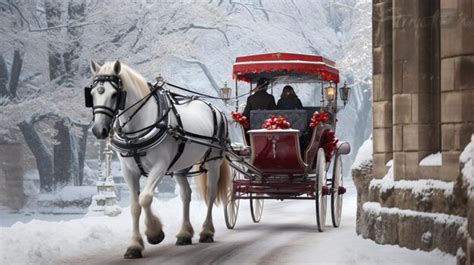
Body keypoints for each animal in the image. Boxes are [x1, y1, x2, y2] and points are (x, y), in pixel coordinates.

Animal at [87, 59, 233, 258]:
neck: (138, 128)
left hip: (213, 162)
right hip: (181, 166)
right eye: (92, 93)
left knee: (210, 193)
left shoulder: (160, 167)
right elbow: (135, 206)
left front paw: (154, 233)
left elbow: (146, 198)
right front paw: (134, 245)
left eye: (115, 94)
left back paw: (206, 231)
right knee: (186, 194)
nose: (98, 130)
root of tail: (217, 109)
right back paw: (184, 234)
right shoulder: (129, 171)